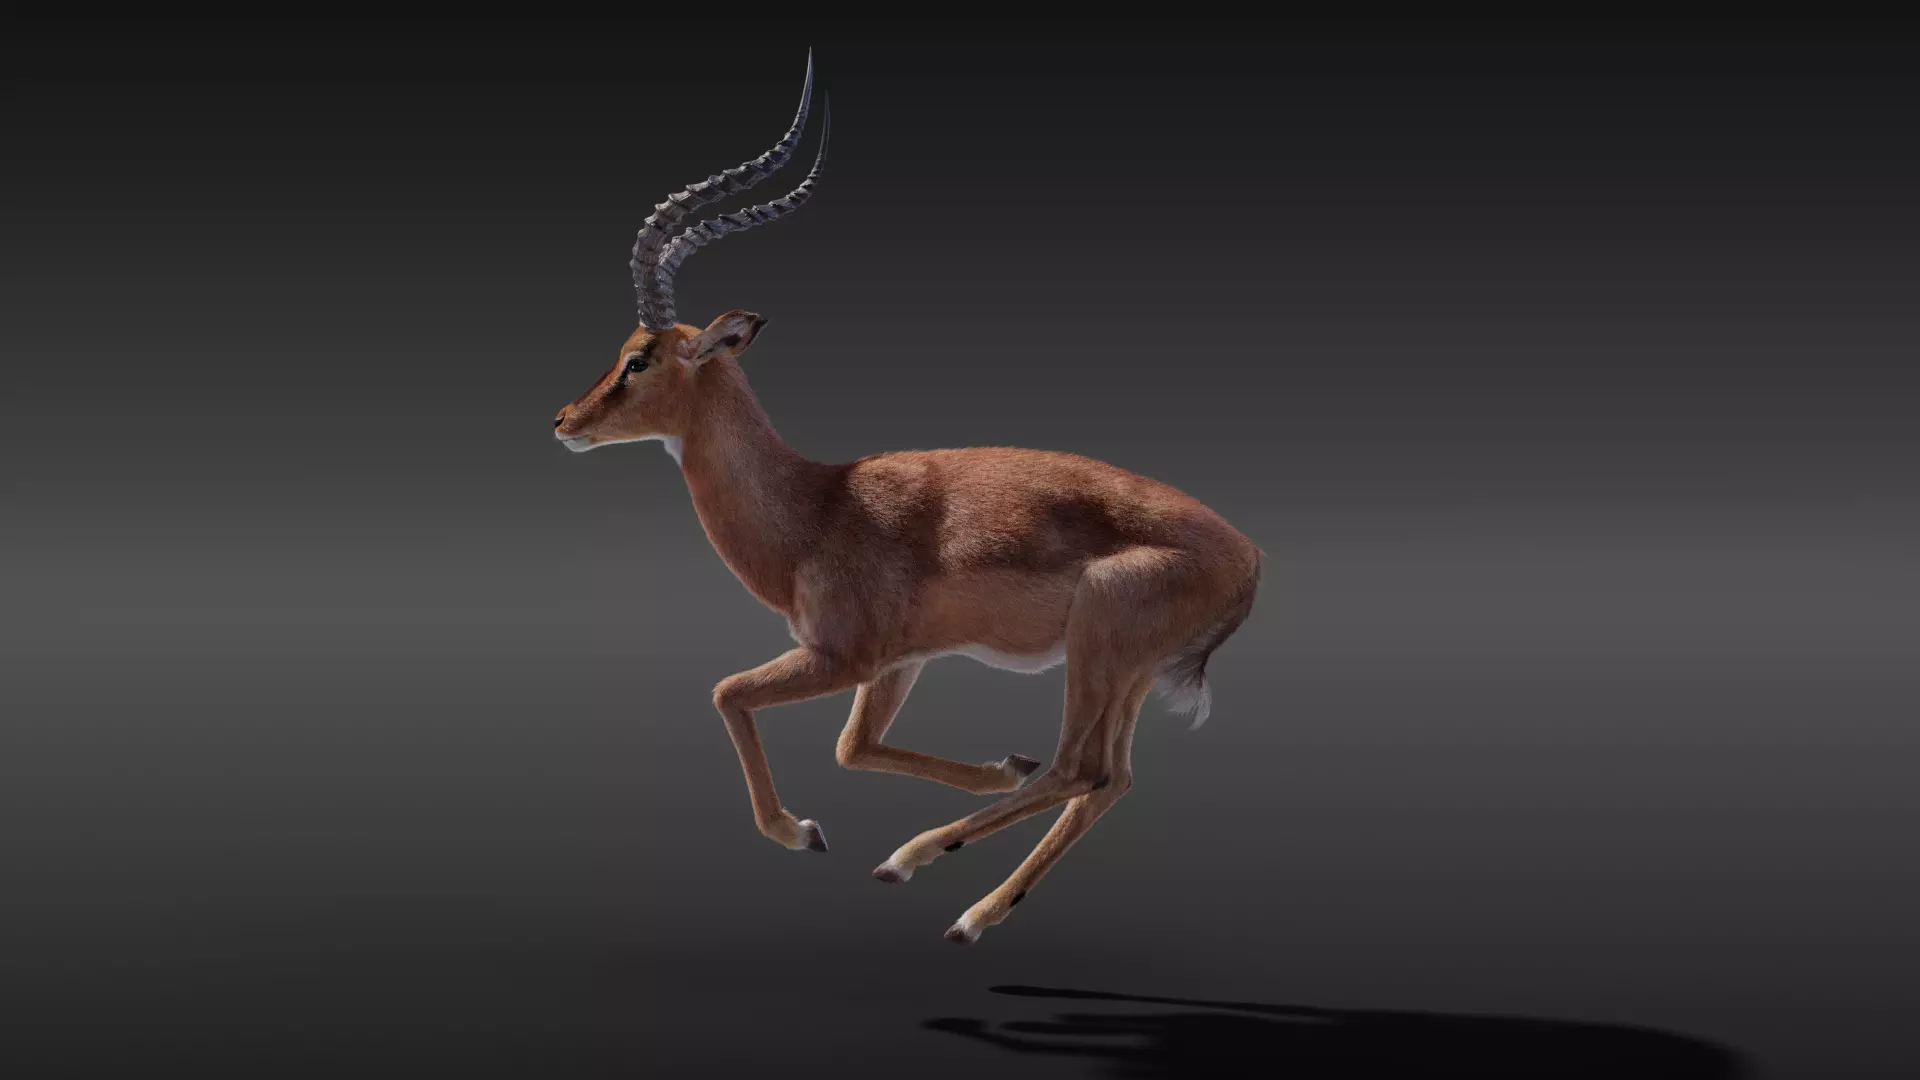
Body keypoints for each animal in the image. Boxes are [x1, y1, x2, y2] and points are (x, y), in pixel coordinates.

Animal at [553, 56, 1261, 944]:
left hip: (1097, 647)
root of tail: (1250, 560)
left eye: (639, 359)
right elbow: (853, 748)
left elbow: (729, 693)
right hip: (1126, 678)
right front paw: (998, 766)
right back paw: (975, 900)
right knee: (1109, 780)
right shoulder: (900, 662)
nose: (564, 421)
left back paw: (917, 867)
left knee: (1078, 767)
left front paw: (802, 831)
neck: (815, 510)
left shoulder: (842, 655)